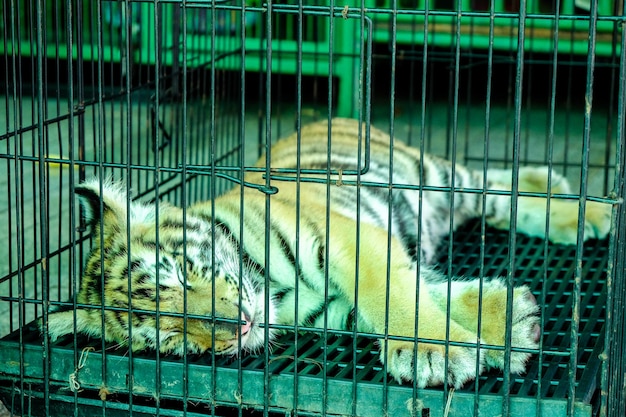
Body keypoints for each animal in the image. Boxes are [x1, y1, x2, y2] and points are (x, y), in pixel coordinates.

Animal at [44, 116, 608, 386]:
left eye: (181, 273)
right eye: (168, 335)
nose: (237, 328)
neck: (274, 289)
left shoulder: (349, 240)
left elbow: (392, 293)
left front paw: (431, 352)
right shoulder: (331, 308)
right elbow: (413, 293)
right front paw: (509, 320)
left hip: (437, 177)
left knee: (494, 182)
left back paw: (582, 209)